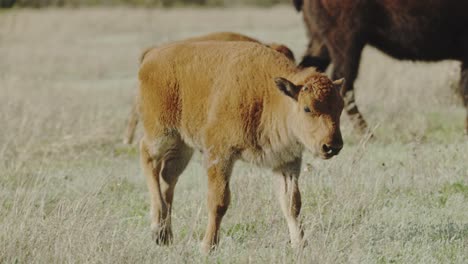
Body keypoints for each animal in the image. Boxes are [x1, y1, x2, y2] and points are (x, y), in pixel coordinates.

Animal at [139, 40, 344, 253]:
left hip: (182, 145)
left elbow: (292, 202)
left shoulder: (286, 162)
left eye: (340, 107)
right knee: (147, 157)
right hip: (161, 133)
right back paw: (157, 228)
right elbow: (219, 201)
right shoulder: (220, 155)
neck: (269, 96)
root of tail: (152, 55)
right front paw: (207, 246)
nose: (332, 146)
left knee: (168, 178)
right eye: (307, 108)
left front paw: (300, 244)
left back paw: (164, 235)